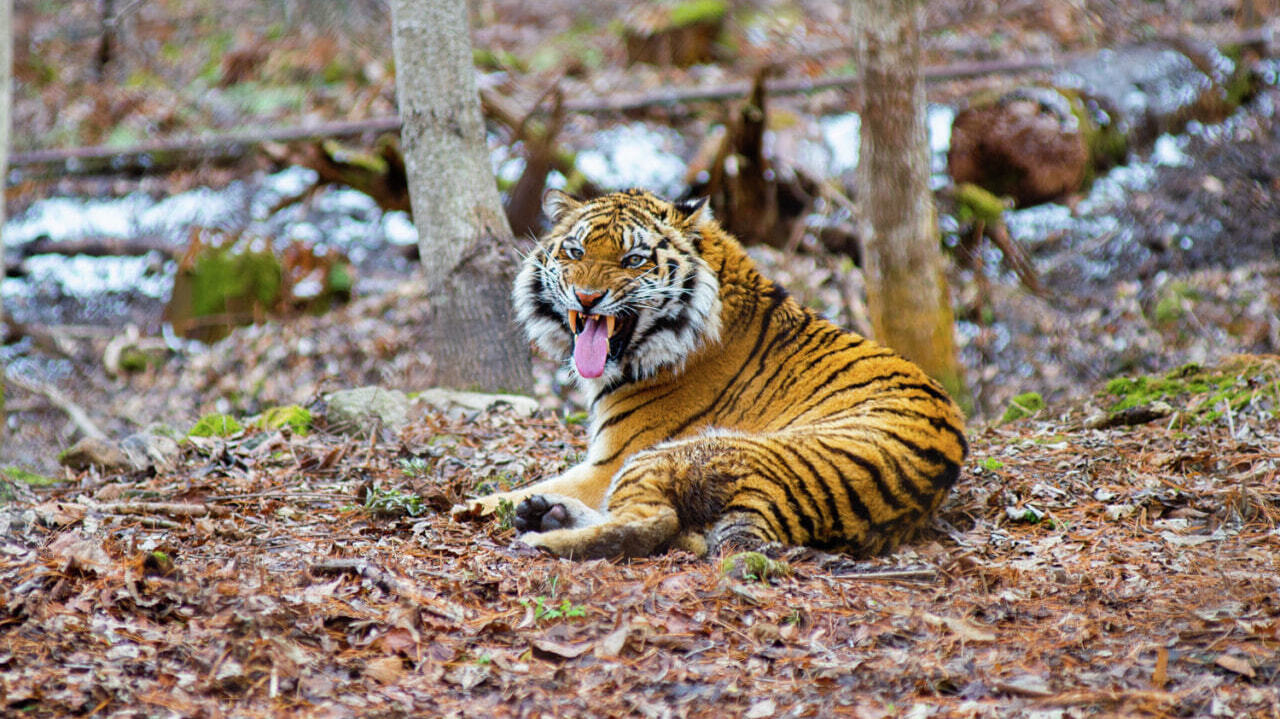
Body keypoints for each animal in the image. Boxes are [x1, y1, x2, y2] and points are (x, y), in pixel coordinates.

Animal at [455, 188, 962, 557]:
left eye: (633, 260)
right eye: (575, 252)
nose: (586, 297)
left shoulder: (611, 461)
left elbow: (518, 488)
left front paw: (467, 505)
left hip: (676, 453)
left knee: (651, 521)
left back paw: (542, 532)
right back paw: (546, 514)